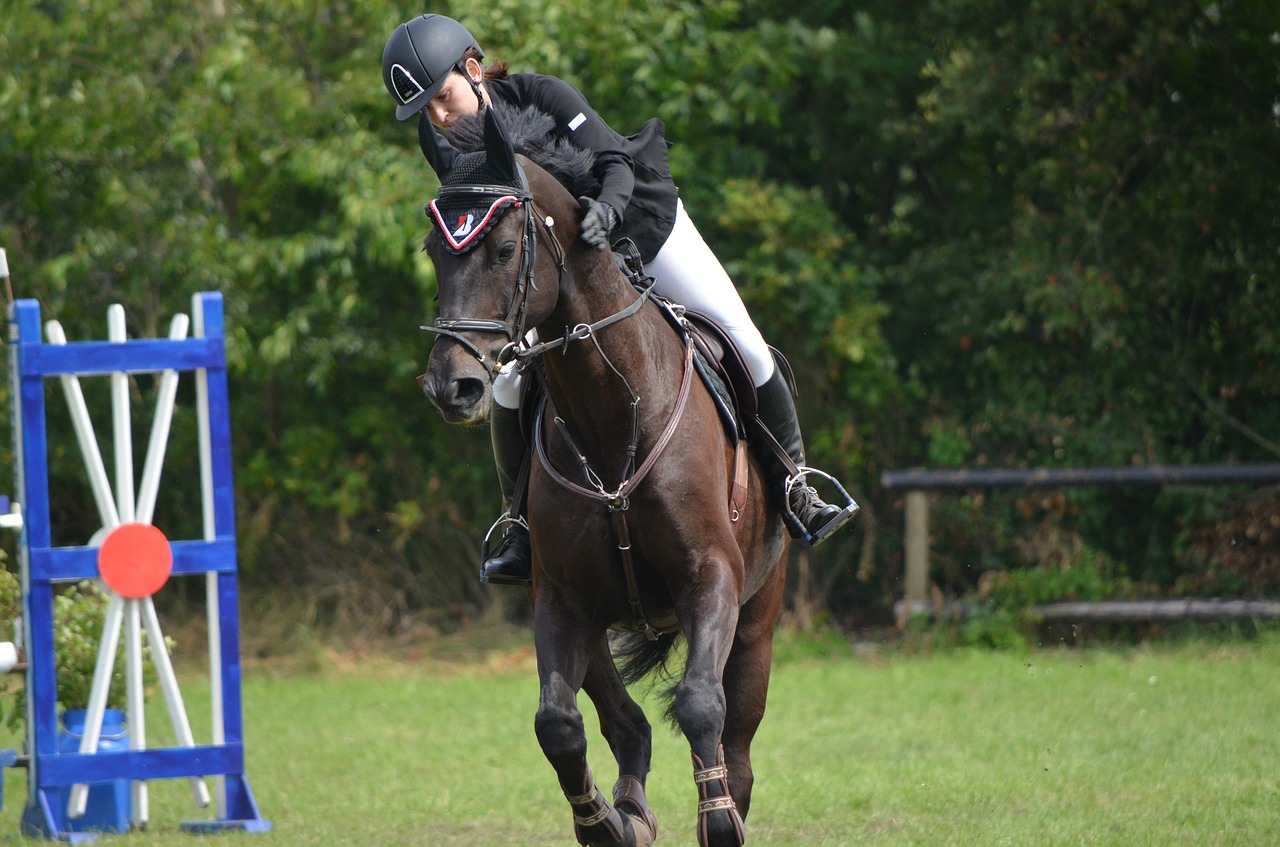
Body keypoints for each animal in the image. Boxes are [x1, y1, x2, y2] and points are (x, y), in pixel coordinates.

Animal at [414, 108, 788, 847]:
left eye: (505, 248)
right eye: (434, 251)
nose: (452, 385)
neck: (614, 413)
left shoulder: (712, 576)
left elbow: (701, 707)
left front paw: (717, 820)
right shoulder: (562, 599)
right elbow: (559, 725)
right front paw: (606, 825)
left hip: (758, 616)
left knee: (736, 742)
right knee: (628, 724)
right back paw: (631, 811)